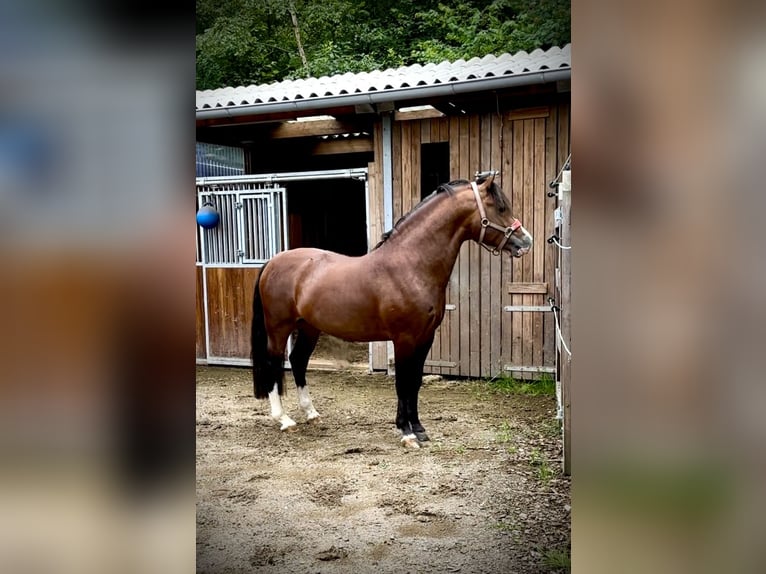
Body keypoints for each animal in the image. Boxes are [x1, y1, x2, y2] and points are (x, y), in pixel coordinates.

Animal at [252, 171, 536, 450]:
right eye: (500, 207)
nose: (526, 241)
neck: (410, 266)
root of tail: (273, 262)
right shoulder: (404, 339)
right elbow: (402, 382)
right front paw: (406, 432)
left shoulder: (425, 337)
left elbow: (415, 382)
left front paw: (419, 428)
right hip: (279, 328)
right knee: (273, 362)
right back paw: (284, 419)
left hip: (309, 327)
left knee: (298, 361)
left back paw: (311, 413)